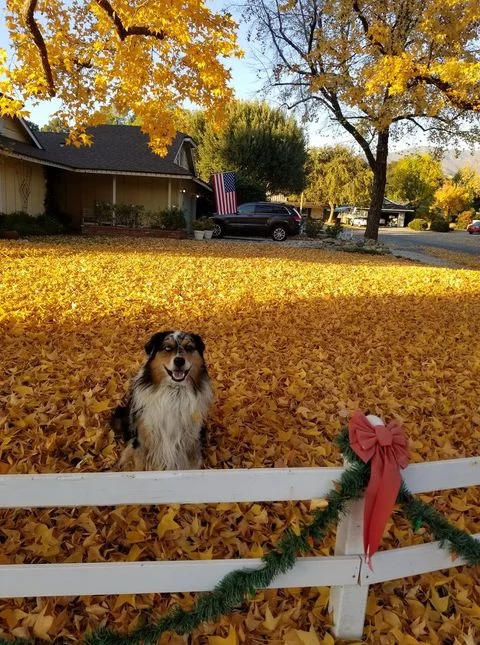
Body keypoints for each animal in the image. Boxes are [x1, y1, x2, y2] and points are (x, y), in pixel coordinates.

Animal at [113, 330, 213, 470]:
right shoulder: (142, 439)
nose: (179, 361)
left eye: (189, 347)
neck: (174, 393)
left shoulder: (191, 442)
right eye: (167, 348)